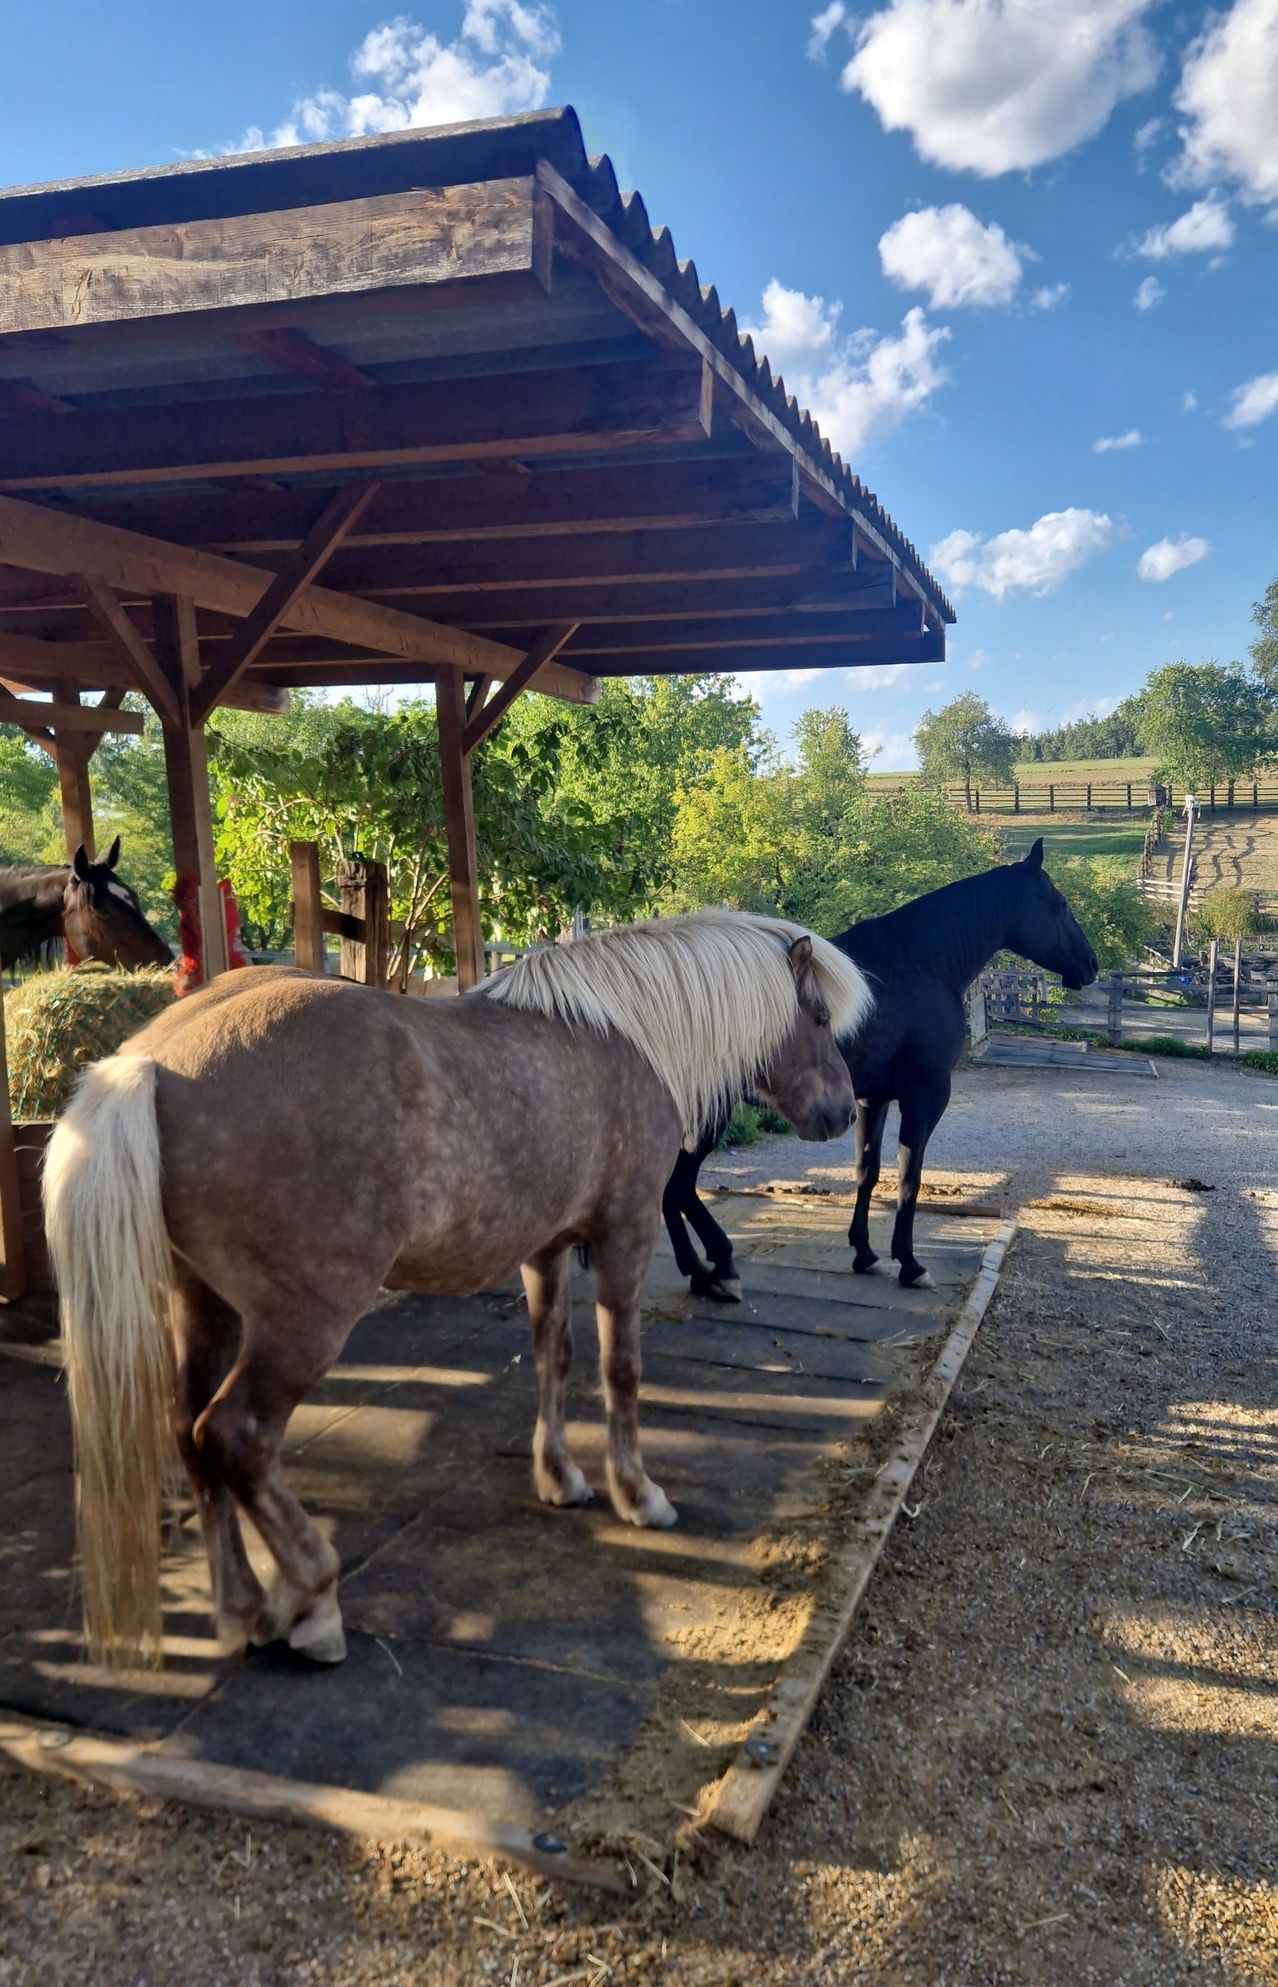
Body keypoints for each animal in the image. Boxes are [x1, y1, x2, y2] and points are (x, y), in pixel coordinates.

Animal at [45, 909, 872, 1670]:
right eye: (818, 1017)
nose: (842, 1110)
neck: (625, 1034)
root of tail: (154, 1065)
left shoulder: (545, 1248)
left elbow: (554, 1356)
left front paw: (560, 1476)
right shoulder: (625, 1234)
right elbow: (620, 1367)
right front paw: (638, 1493)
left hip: (202, 1304)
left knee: (187, 1430)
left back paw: (241, 1607)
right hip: (302, 1320)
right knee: (235, 1436)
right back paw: (312, 1600)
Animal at [662, 839, 1098, 1296]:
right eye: (1059, 904)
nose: (1091, 964)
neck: (923, 962)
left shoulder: (873, 1100)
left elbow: (867, 1172)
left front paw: (865, 1253)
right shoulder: (926, 1097)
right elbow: (909, 1177)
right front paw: (909, 1262)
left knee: (667, 1191)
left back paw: (697, 1271)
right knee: (679, 1187)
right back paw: (718, 1265)